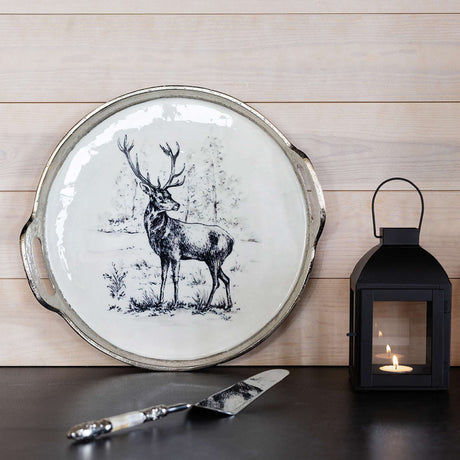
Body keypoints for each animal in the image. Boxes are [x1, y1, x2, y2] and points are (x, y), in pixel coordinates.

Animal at [117, 135, 234, 311]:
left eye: (170, 194)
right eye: (160, 197)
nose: (177, 205)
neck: (159, 235)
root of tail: (232, 240)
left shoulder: (176, 254)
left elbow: (175, 278)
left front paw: (175, 303)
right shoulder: (163, 256)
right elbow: (163, 277)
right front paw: (160, 302)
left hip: (215, 257)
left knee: (216, 282)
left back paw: (206, 306)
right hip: (213, 259)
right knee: (226, 279)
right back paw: (228, 305)